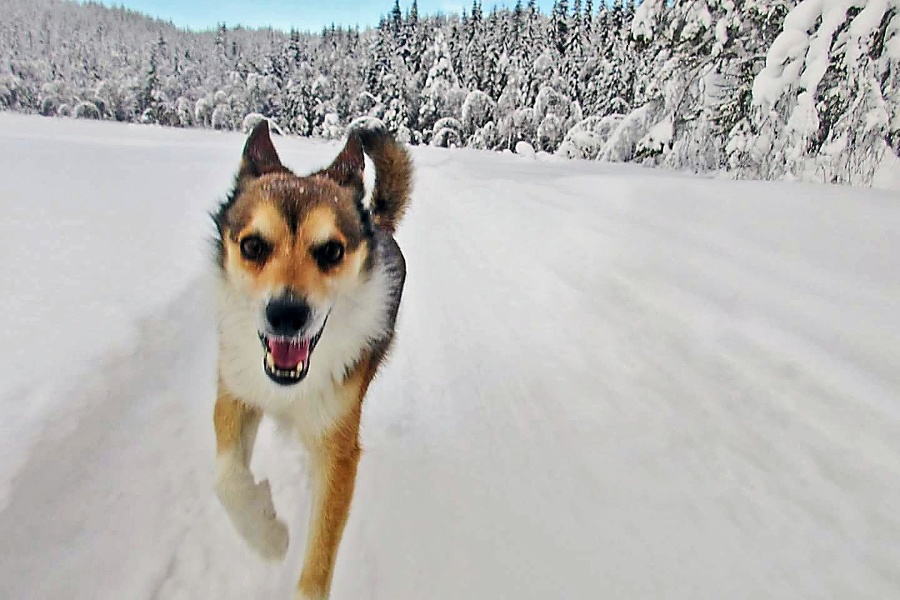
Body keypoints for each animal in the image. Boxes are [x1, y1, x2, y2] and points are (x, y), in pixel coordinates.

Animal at [211, 118, 412, 600]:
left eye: (331, 251)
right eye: (253, 246)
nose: (286, 314)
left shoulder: (338, 448)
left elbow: (319, 555)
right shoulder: (235, 390)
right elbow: (226, 478)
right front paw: (267, 534)